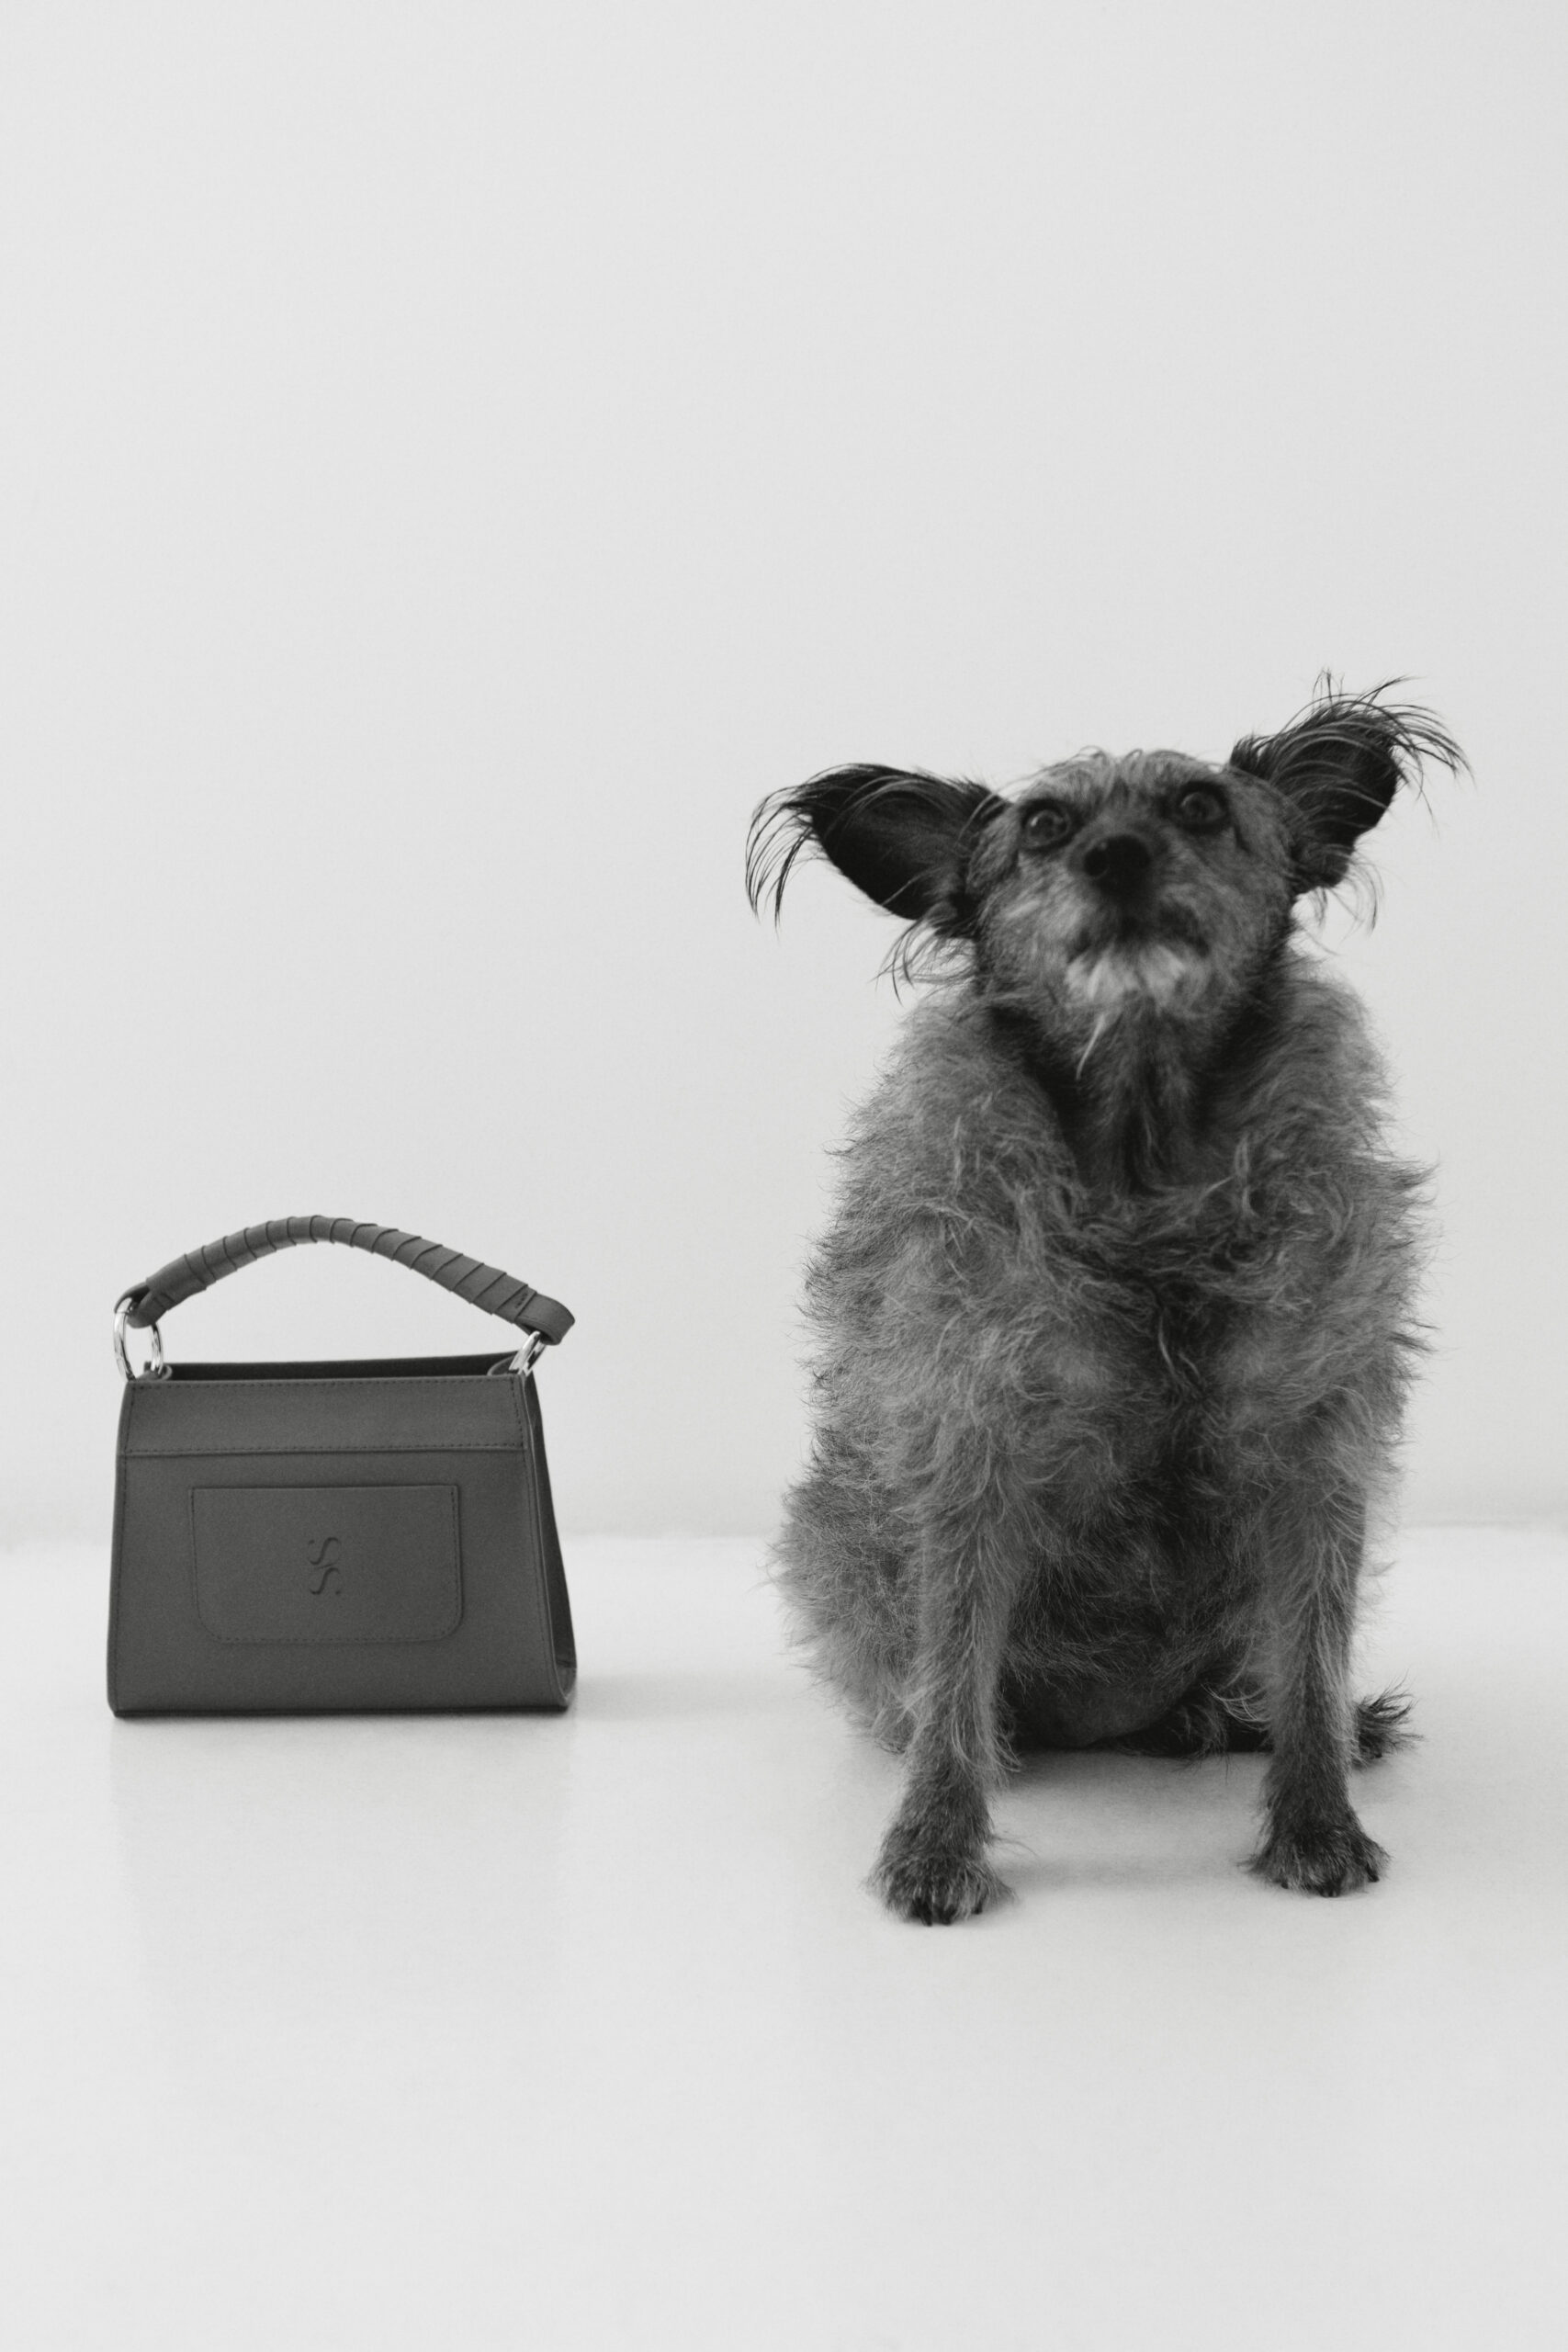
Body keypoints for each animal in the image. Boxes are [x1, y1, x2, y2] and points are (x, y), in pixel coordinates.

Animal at [747, 685, 1462, 1924]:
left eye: (1201, 806)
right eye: (1042, 827)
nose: (1116, 855)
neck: (1145, 1169)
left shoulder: (1315, 1460)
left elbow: (1312, 1666)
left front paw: (1316, 1817)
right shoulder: (970, 1462)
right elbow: (951, 1682)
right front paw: (936, 1840)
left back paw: (1230, 1712)